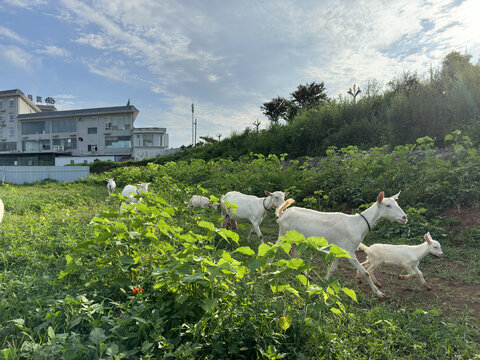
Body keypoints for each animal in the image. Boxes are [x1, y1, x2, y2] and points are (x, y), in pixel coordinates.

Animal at [276, 191, 406, 298]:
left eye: (396, 204)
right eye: (388, 205)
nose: (404, 217)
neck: (358, 224)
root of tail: (283, 214)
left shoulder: (339, 250)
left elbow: (332, 270)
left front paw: (324, 286)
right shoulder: (349, 251)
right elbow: (365, 272)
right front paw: (379, 293)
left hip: (297, 239)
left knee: (295, 255)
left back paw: (306, 275)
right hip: (282, 234)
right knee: (274, 249)